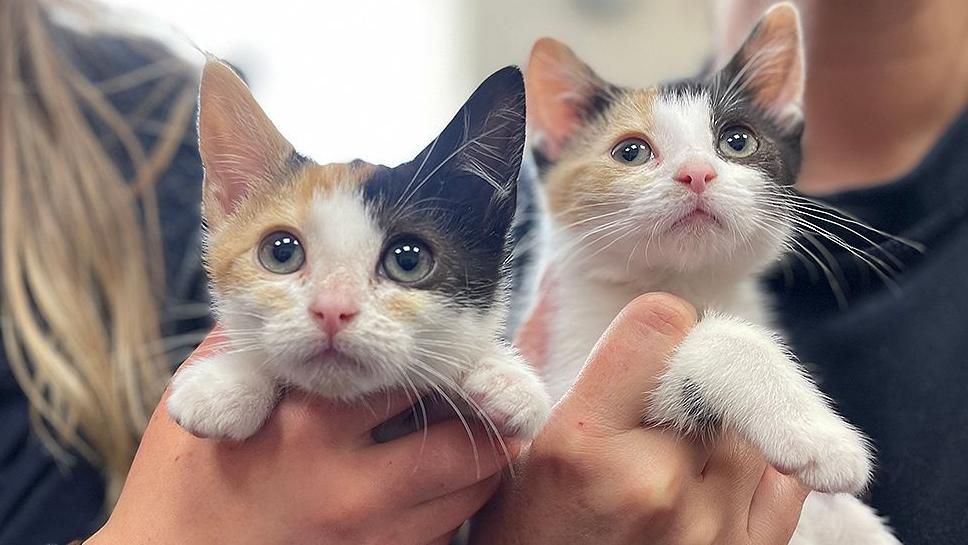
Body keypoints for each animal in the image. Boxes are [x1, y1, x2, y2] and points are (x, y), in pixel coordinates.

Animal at [528, 4, 900, 544]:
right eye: (630, 152)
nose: (697, 173)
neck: (687, 283)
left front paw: (859, 523)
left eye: (737, 141)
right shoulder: (564, 377)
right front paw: (819, 437)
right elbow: (718, 338)